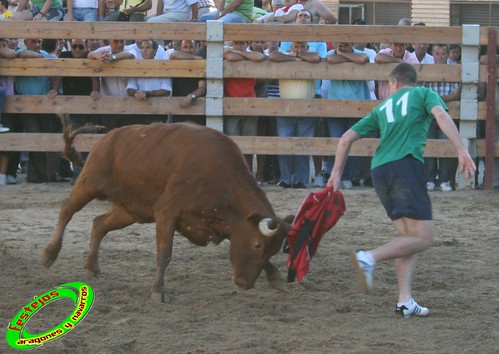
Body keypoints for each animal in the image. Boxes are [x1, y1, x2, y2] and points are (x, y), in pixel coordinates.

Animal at [44, 119, 292, 302]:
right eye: (257, 245)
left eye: (273, 250)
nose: (244, 284)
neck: (220, 179)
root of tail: (107, 139)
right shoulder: (166, 212)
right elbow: (164, 254)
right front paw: (157, 291)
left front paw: (276, 278)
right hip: (90, 183)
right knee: (67, 209)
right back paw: (50, 254)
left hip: (130, 211)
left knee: (99, 224)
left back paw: (92, 267)